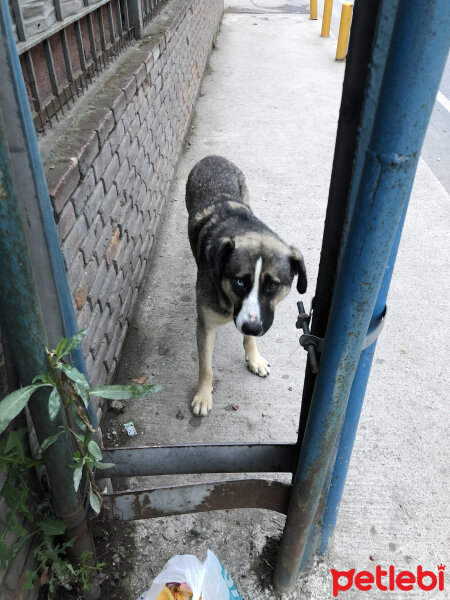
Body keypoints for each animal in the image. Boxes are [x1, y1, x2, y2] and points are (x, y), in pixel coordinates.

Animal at [184, 156, 306, 418]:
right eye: (240, 281)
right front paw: (203, 395)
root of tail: (214, 156)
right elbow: (206, 367)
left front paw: (254, 358)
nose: (251, 326)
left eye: (273, 285)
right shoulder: (205, 325)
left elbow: (249, 338)